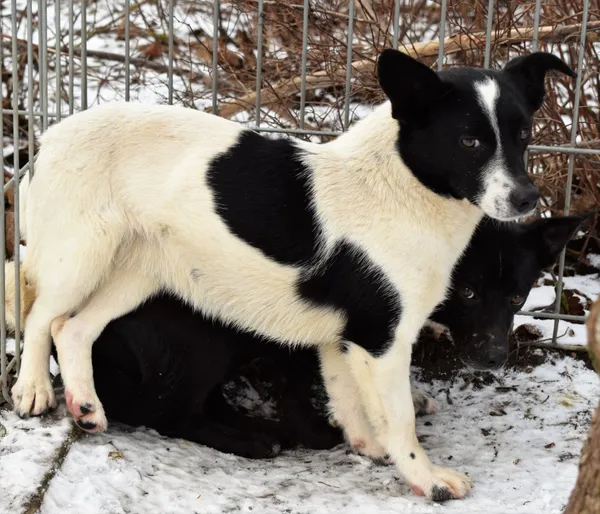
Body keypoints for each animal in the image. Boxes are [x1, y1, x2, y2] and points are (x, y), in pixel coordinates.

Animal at [9, 51, 572, 500]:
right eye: (470, 141)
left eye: (523, 136)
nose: (528, 199)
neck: (402, 188)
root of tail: (50, 134)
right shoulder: (382, 341)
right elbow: (400, 420)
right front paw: (426, 479)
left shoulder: (342, 340)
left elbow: (349, 400)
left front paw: (364, 444)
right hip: (82, 258)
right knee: (41, 318)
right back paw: (33, 389)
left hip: (139, 275)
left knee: (72, 328)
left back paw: (86, 405)